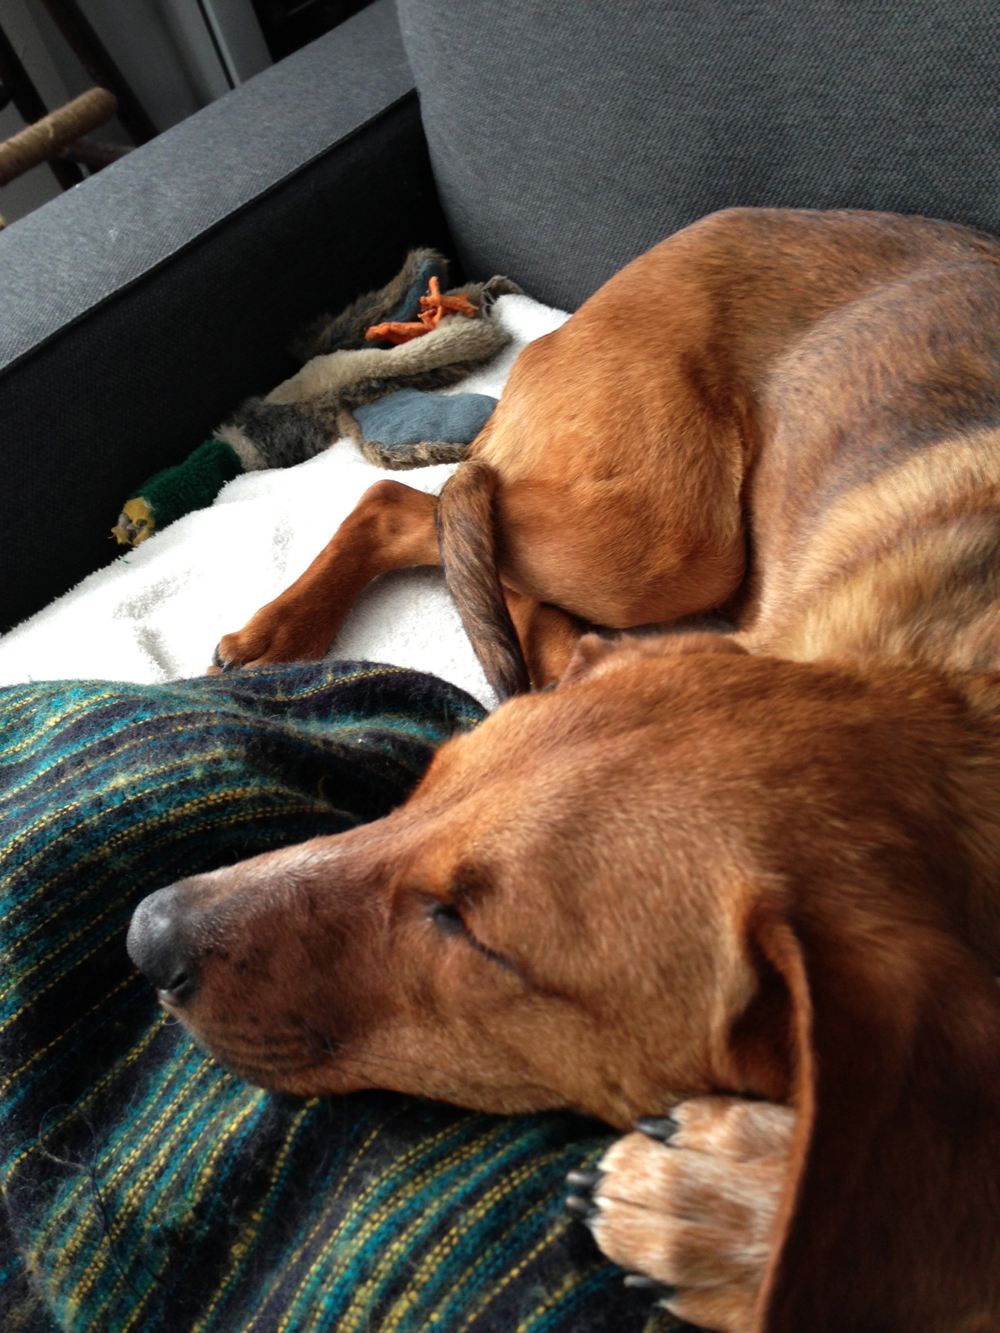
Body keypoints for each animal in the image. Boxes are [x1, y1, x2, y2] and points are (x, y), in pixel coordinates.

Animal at [129, 213, 1000, 1327]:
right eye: (429, 785)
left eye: (475, 937)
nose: (144, 935)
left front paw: (728, 1212)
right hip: (662, 541)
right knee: (422, 505)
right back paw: (286, 626)